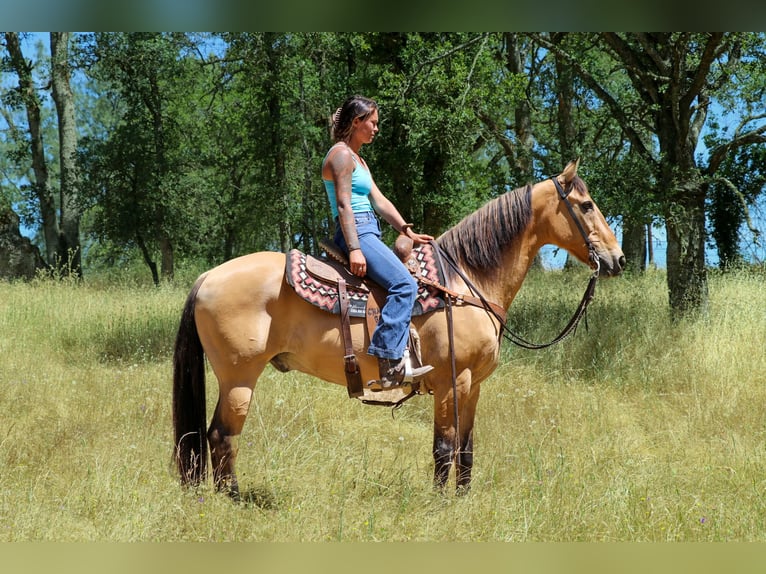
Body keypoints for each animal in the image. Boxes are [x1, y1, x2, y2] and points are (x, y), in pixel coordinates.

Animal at [176, 161, 632, 500]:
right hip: (239, 377)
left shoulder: (474, 384)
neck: (466, 280)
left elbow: (466, 447)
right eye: (586, 205)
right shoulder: (452, 381)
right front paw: (440, 504)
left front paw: (463, 499)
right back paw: (232, 499)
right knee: (221, 435)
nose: (619, 259)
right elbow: (444, 446)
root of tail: (208, 277)